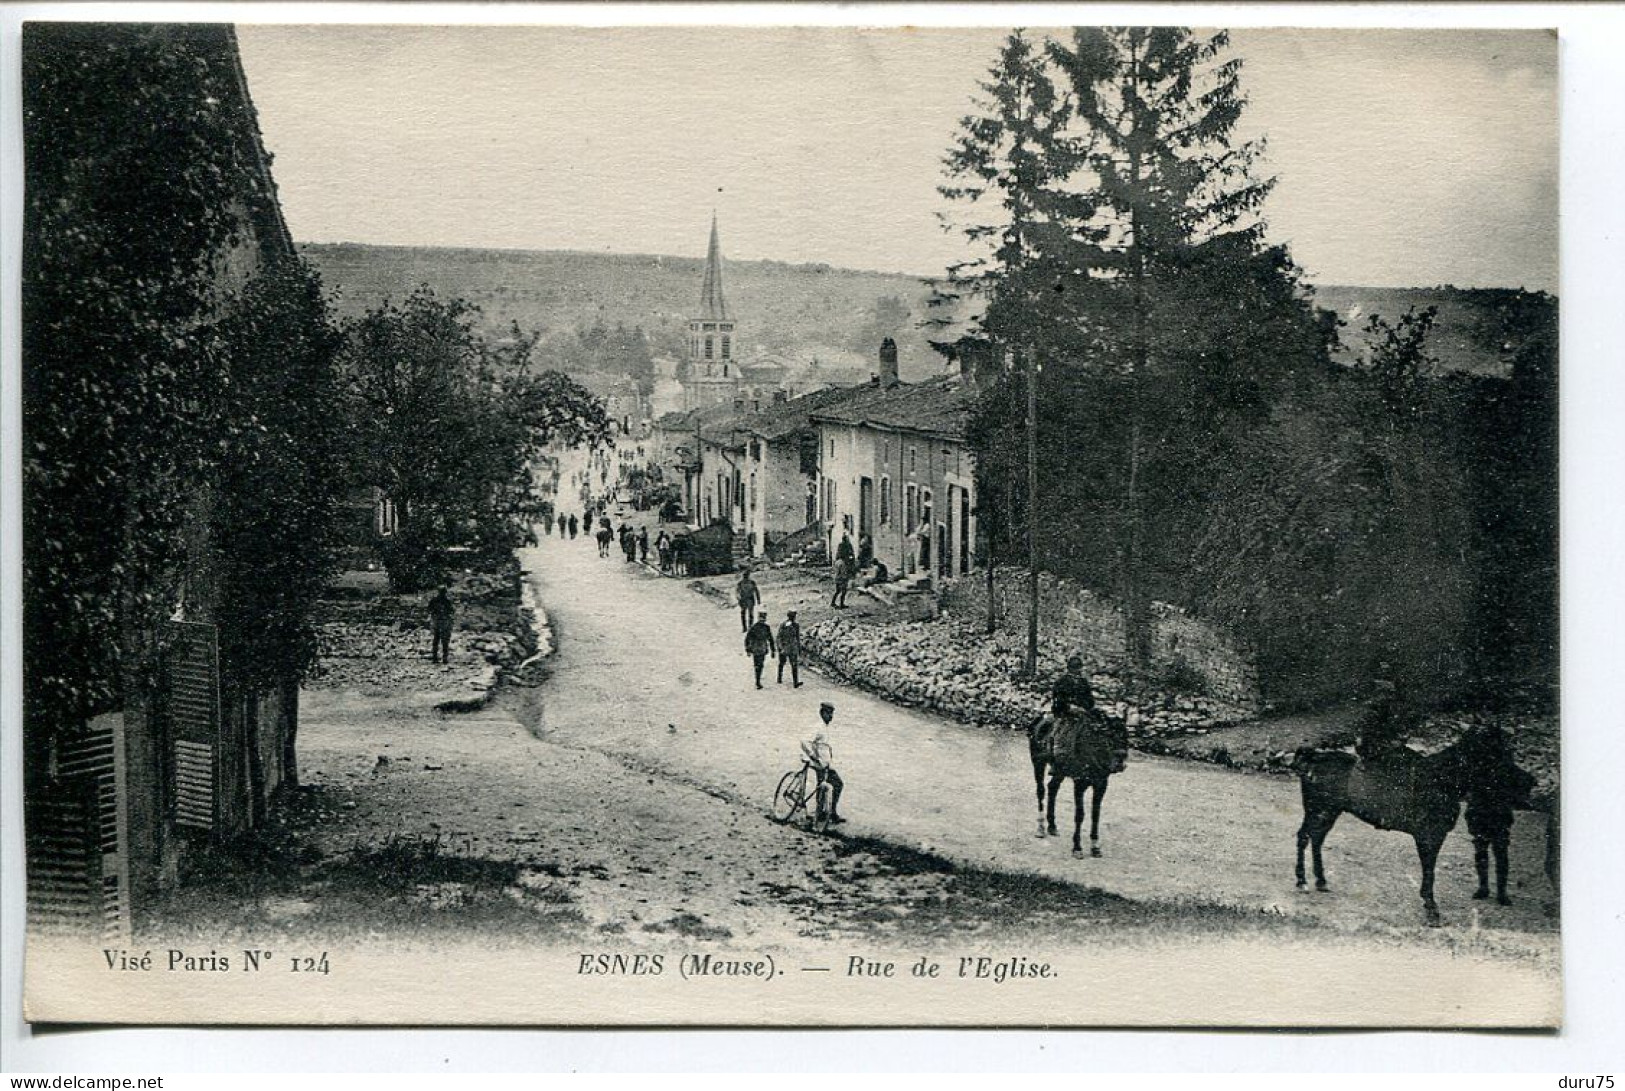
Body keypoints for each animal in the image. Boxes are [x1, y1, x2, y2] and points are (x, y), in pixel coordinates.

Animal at [1033, 712, 1124, 858]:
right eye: (1109, 736)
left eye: (1126, 734)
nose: (1120, 764)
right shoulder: (1079, 785)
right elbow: (1080, 815)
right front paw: (1077, 848)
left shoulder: (1101, 785)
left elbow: (1095, 815)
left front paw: (1095, 847)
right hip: (1038, 763)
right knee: (1041, 791)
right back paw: (1041, 828)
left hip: (1059, 771)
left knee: (1052, 788)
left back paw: (1052, 826)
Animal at [1293, 728, 1534, 923]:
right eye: (1498, 756)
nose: (1530, 781)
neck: (1442, 780)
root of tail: (1311, 759)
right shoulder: (1428, 835)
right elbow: (1429, 870)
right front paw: (1431, 909)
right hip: (1317, 810)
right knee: (1304, 836)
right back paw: (1302, 881)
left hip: (1329, 812)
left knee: (1317, 839)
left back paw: (1321, 881)